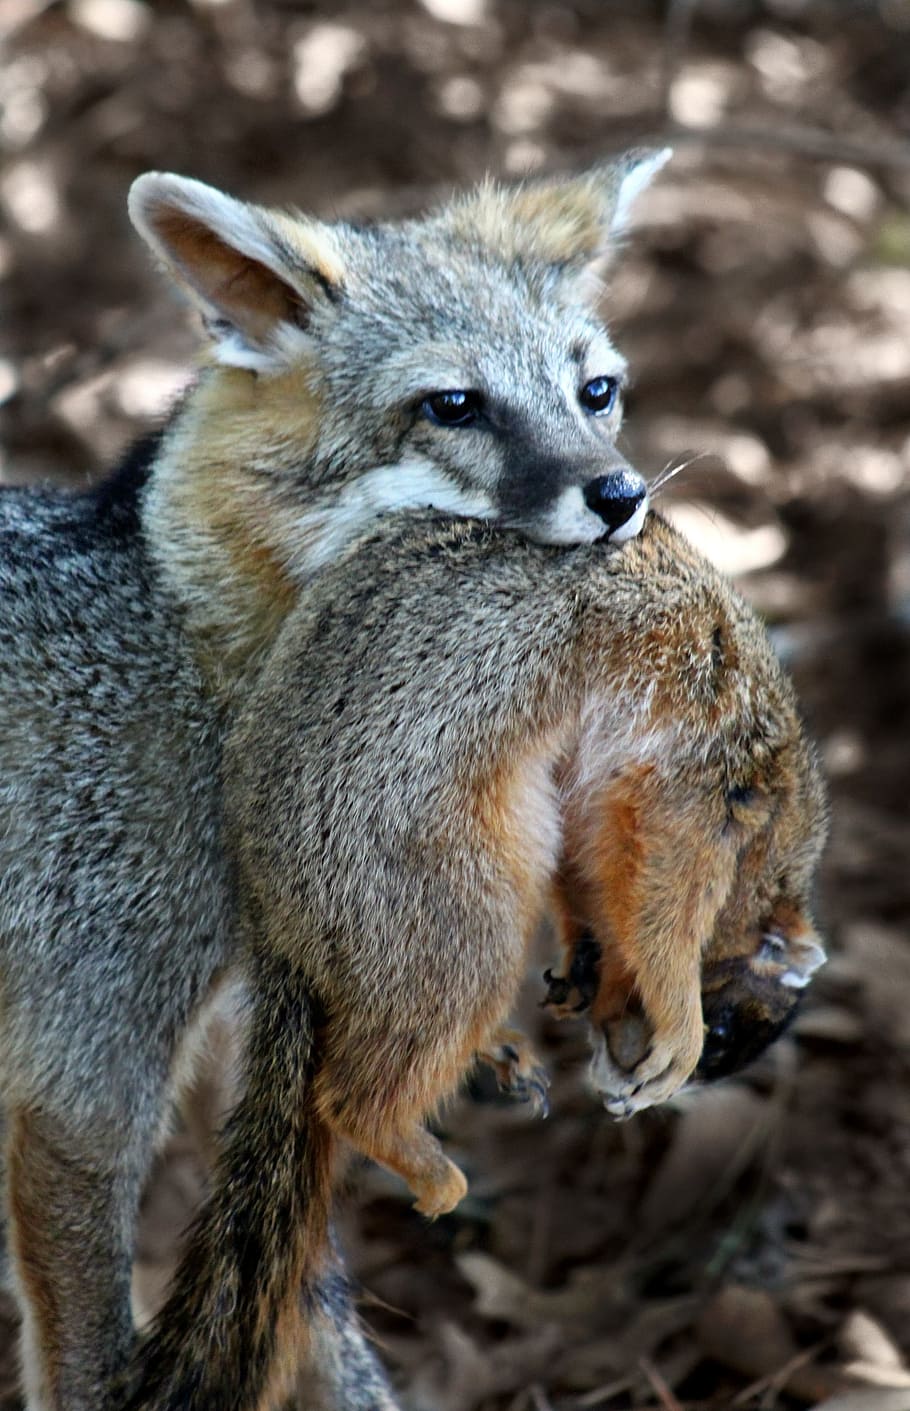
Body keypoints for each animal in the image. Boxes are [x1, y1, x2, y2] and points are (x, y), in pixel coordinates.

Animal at [0, 151, 673, 1411]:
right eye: (453, 405)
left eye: (596, 390)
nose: (620, 494)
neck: (183, 644)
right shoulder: (80, 1080)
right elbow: (100, 1358)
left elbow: (316, 1319)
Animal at [122, 510, 828, 1411]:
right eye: (732, 1028)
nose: (620, 1094)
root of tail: (279, 917)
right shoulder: (708, 777)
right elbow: (664, 889)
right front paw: (677, 1020)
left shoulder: (616, 790)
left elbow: (601, 859)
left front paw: (589, 960)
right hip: (445, 894)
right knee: (356, 1085)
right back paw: (398, 1133)